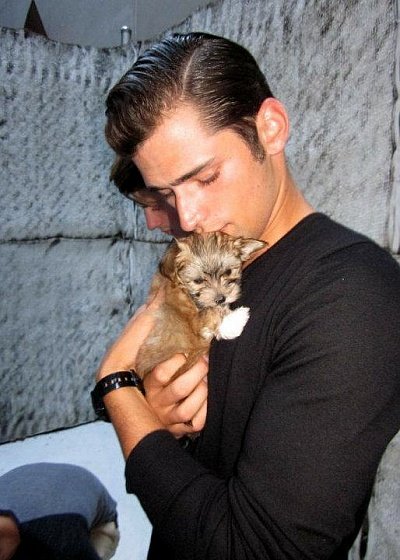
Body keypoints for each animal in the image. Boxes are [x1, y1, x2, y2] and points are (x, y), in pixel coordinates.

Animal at [135, 231, 266, 381]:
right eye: (198, 281)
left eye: (228, 272)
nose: (221, 298)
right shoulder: (191, 320)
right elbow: (210, 314)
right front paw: (236, 319)